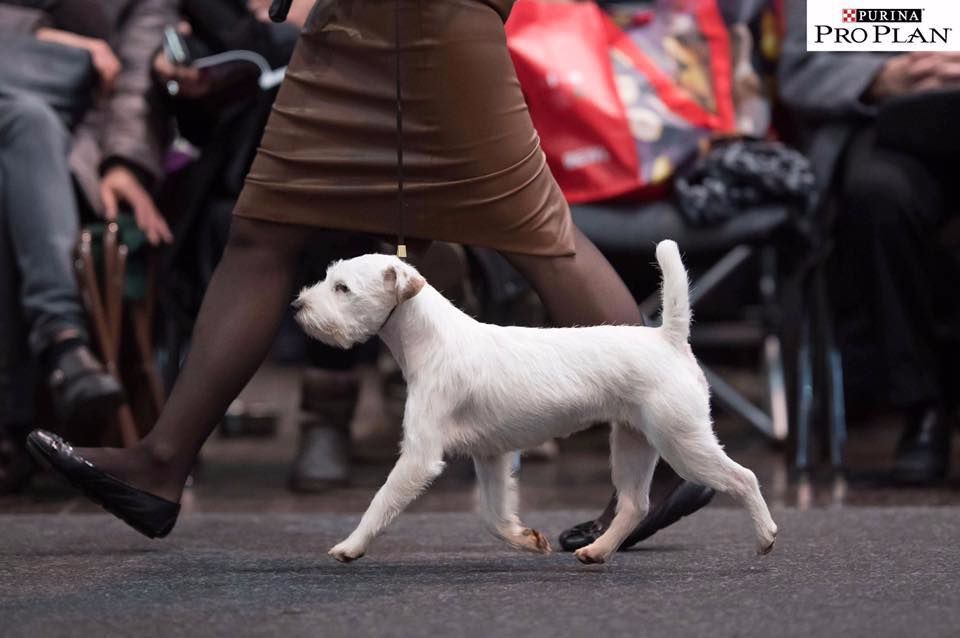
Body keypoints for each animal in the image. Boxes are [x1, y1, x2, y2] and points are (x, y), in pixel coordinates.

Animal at [296, 240, 776, 564]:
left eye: (342, 288)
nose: (298, 305)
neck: (432, 339)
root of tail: (669, 337)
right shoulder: (490, 456)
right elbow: (493, 515)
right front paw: (526, 539)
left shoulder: (419, 456)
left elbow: (382, 501)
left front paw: (350, 546)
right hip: (633, 441)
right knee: (634, 504)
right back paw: (597, 550)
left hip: (682, 440)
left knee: (745, 477)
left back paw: (765, 536)